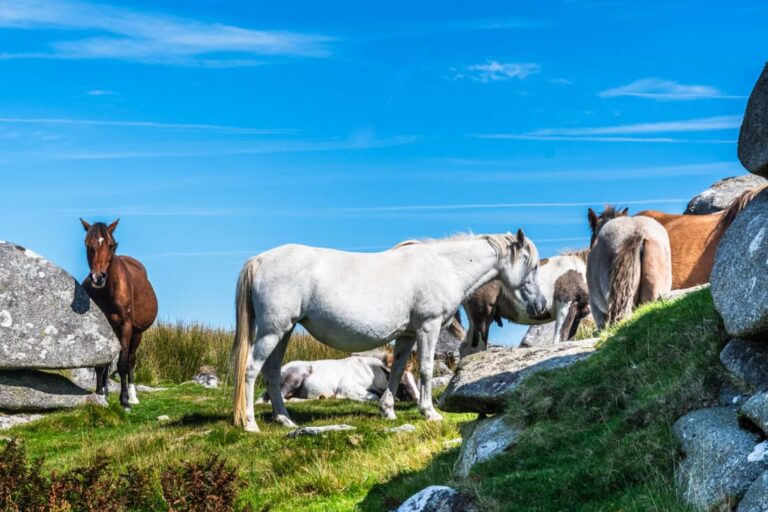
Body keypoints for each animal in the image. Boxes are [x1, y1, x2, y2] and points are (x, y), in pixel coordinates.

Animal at [80, 219, 158, 410]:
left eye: (111, 245)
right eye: (87, 244)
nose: (97, 278)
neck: (109, 291)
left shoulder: (126, 326)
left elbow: (122, 363)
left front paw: (124, 401)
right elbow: (101, 364)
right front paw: (100, 395)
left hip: (137, 333)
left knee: (131, 360)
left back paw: (132, 396)